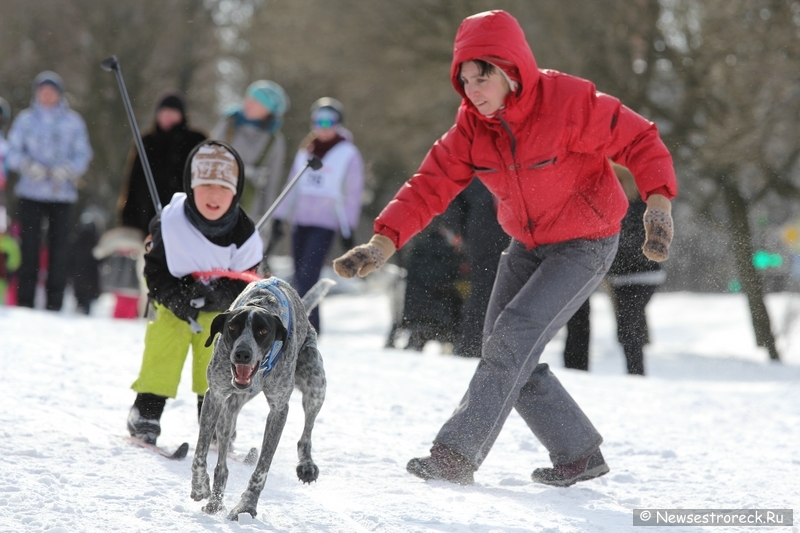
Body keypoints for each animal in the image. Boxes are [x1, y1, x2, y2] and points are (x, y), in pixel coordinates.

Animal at [191, 276, 332, 516]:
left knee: (307, 432)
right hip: (228, 413)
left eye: (263, 331)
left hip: (315, 385)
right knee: (222, 460)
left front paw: (246, 506)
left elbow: (262, 467)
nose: (242, 354)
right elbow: (201, 451)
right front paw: (200, 486)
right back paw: (215, 501)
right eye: (232, 327)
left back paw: (306, 465)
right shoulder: (215, 396)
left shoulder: (279, 409)